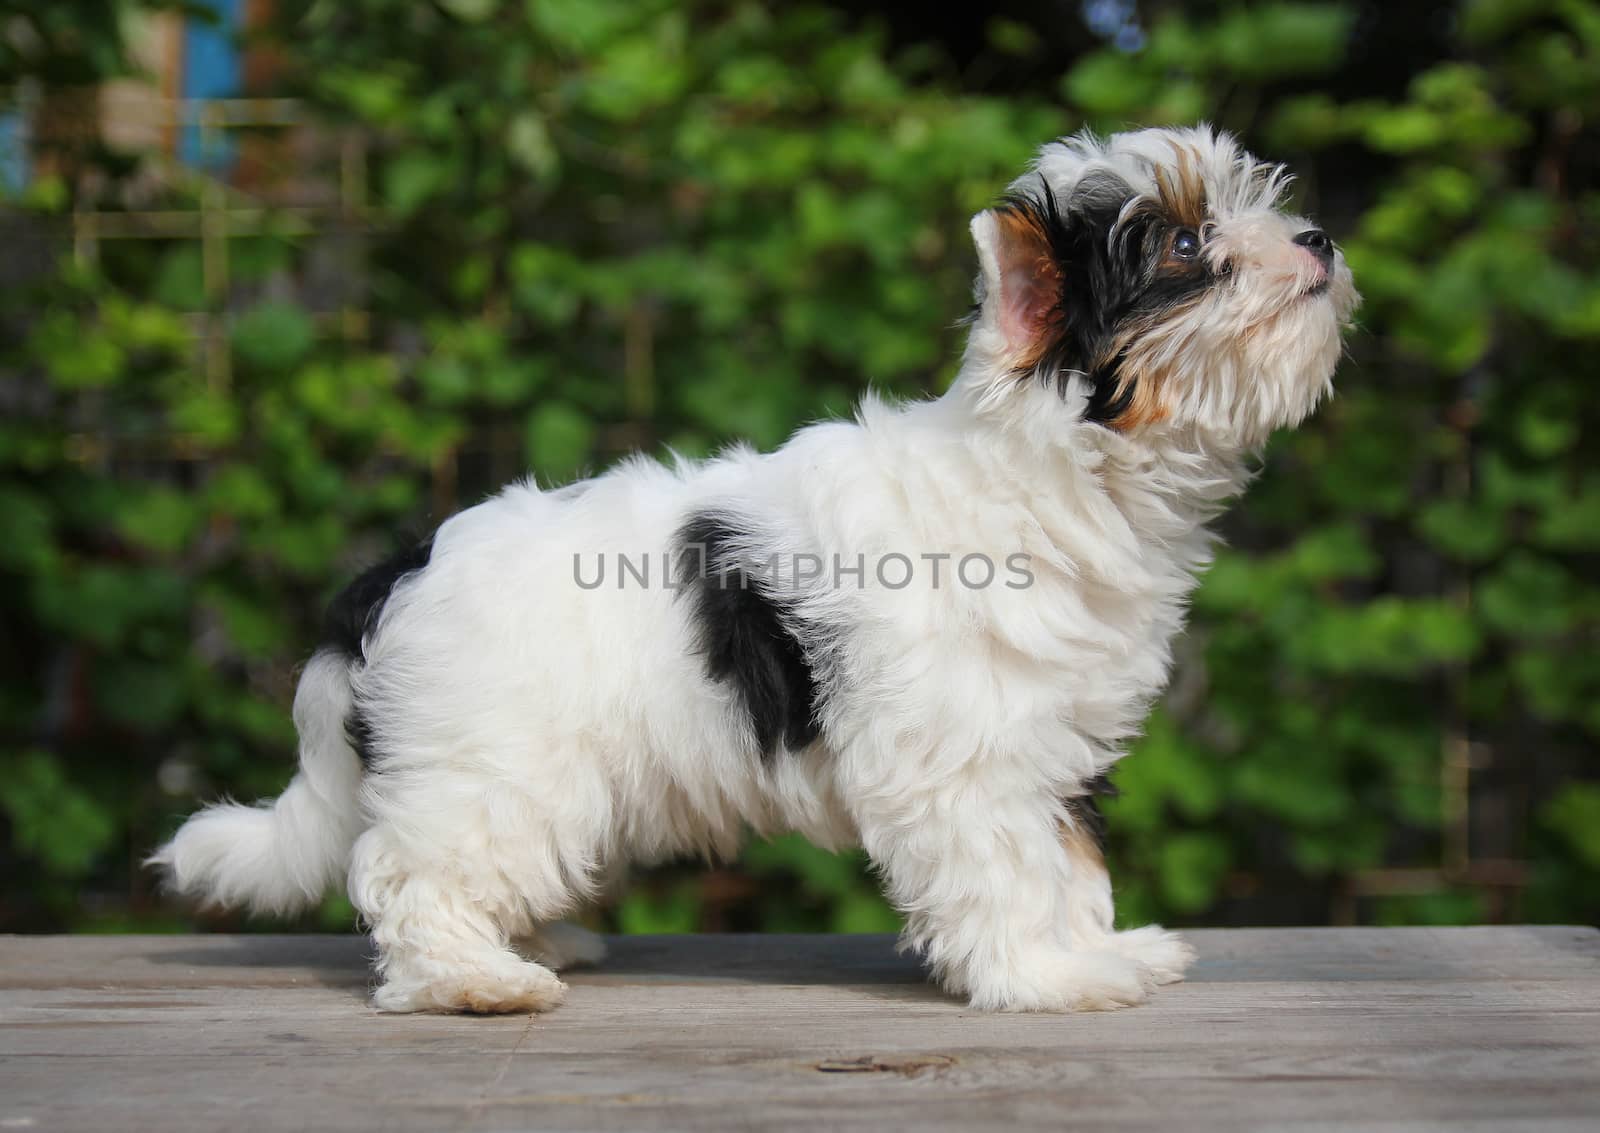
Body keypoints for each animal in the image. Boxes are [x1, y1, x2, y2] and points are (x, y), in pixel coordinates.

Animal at [152, 126, 1363, 1017]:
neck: (1049, 470)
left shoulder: (1047, 742)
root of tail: (393, 573)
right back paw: (476, 979)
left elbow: (1065, 858)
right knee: (416, 868)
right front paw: (1047, 976)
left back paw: (535, 939)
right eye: (1182, 248)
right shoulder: (963, 755)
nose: (1316, 236)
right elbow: (1007, 862)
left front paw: (1102, 949)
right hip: (496, 758)